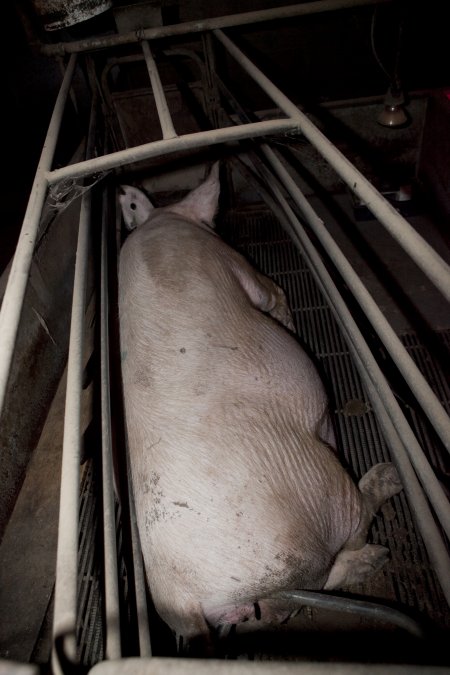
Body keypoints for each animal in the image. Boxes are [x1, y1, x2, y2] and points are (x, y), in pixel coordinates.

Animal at [118, 164, 402, 656]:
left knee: (273, 612)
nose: (122, 191)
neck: (163, 220)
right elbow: (272, 292)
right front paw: (287, 320)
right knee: (345, 540)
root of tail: (186, 598)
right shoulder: (235, 263)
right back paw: (384, 501)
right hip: (320, 499)